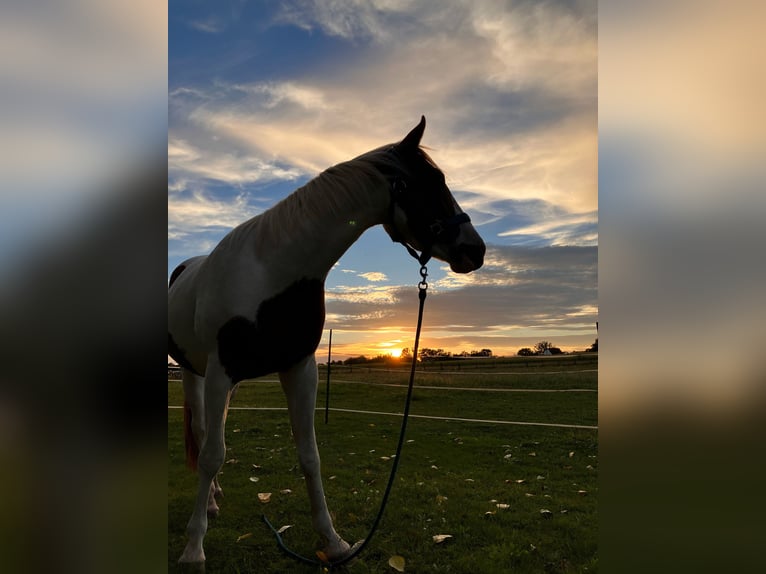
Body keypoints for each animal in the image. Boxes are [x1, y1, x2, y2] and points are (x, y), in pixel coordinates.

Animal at [171, 117, 488, 568]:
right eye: (431, 182)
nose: (475, 250)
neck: (271, 274)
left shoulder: (300, 368)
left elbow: (309, 455)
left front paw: (333, 541)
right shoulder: (221, 371)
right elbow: (214, 454)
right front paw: (194, 548)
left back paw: (214, 499)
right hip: (193, 373)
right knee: (203, 437)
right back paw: (209, 506)